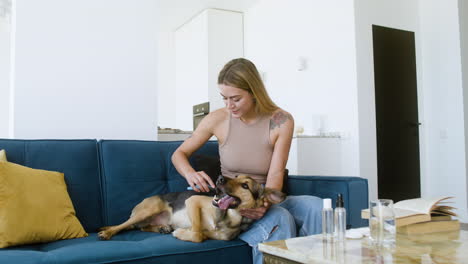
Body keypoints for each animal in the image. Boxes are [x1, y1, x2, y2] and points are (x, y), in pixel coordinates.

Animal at [98, 174, 286, 242]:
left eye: (245, 185)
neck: (228, 217)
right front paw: (183, 232)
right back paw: (107, 232)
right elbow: (197, 233)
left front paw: (183, 232)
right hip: (148, 210)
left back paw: (161, 228)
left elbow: (200, 235)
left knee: (142, 227)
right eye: (235, 176)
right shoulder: (193, 201)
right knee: (122, 225)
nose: (219, 179)